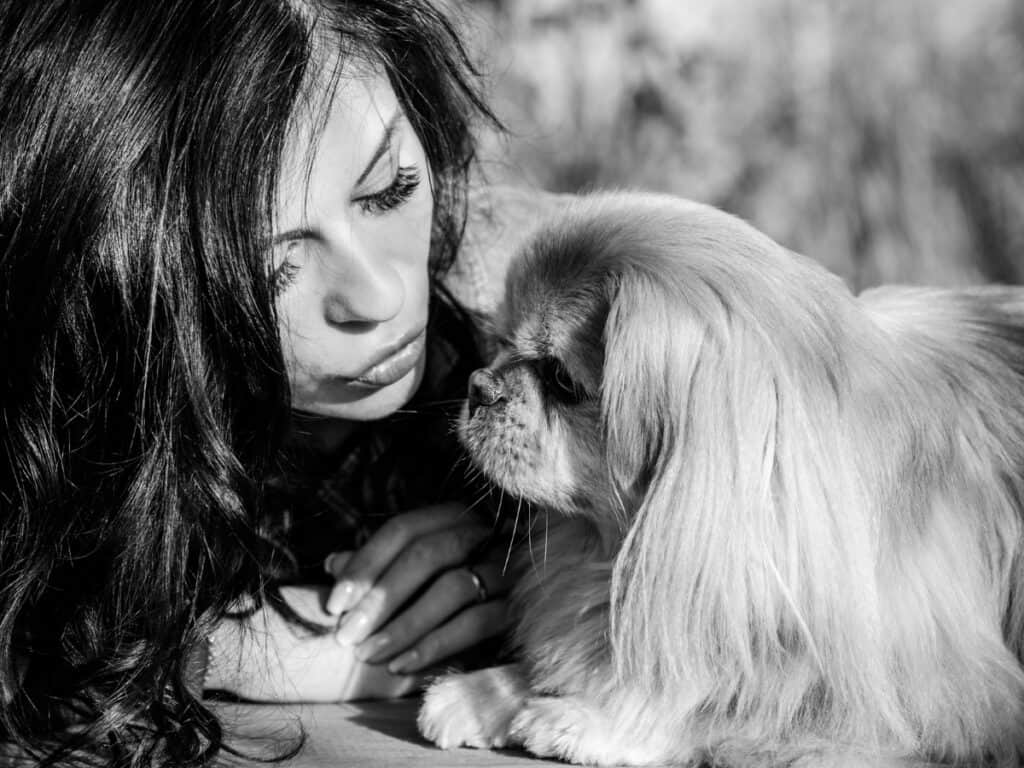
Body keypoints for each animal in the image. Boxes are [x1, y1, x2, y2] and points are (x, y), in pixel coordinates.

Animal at [415, 193, 1024, 768]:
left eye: (561, 379)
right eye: (501, 343)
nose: (479, 385)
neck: (610, 549)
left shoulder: (949, 703)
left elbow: (735, 700)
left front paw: (593, 718)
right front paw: (487, 691)